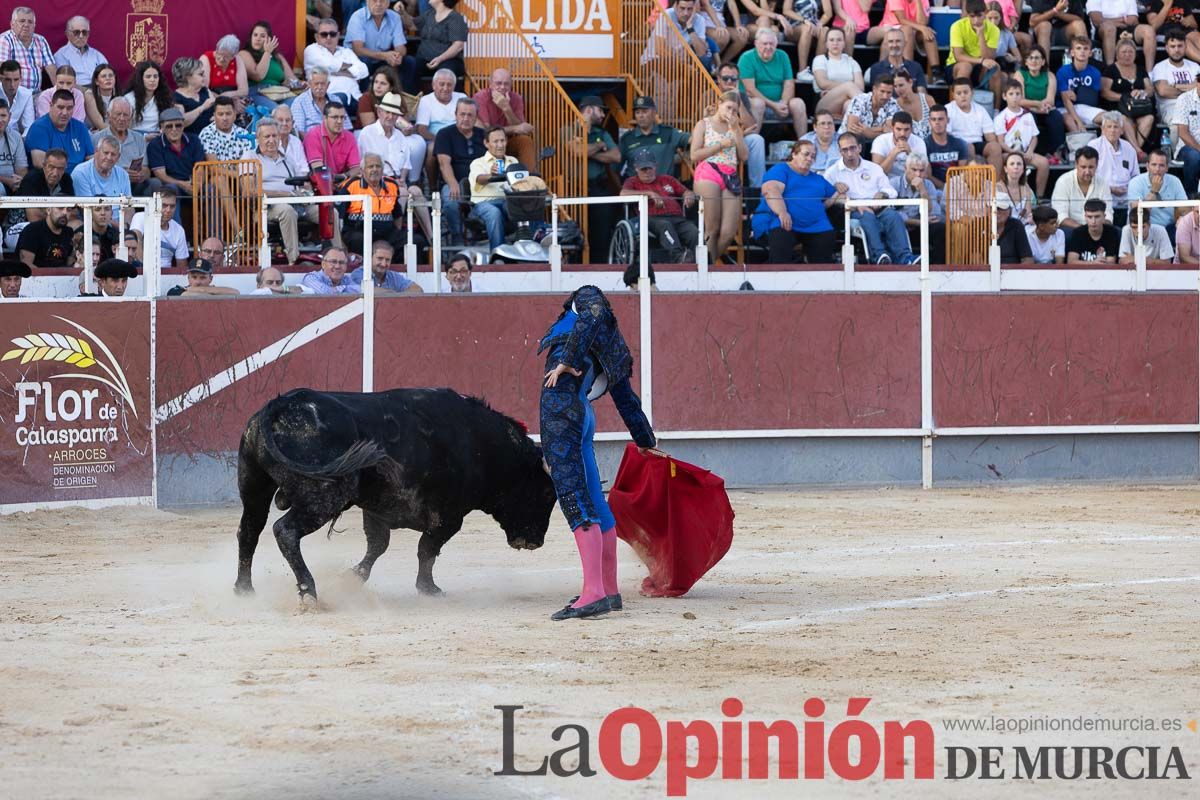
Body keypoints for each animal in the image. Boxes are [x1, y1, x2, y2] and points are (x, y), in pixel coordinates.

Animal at [232, 388, 556, 599]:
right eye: (546, 494)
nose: (535, 542)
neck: (477, 443)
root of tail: (281, 405)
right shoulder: (449, 516)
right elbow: (427, 549)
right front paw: (429, 589)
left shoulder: (378, 509)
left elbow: (378, 546)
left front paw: (353, 578)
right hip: (324, 496)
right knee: (285, 531)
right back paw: (308, 591)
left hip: (254, 485)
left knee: (249, 530)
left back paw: (244, 589)